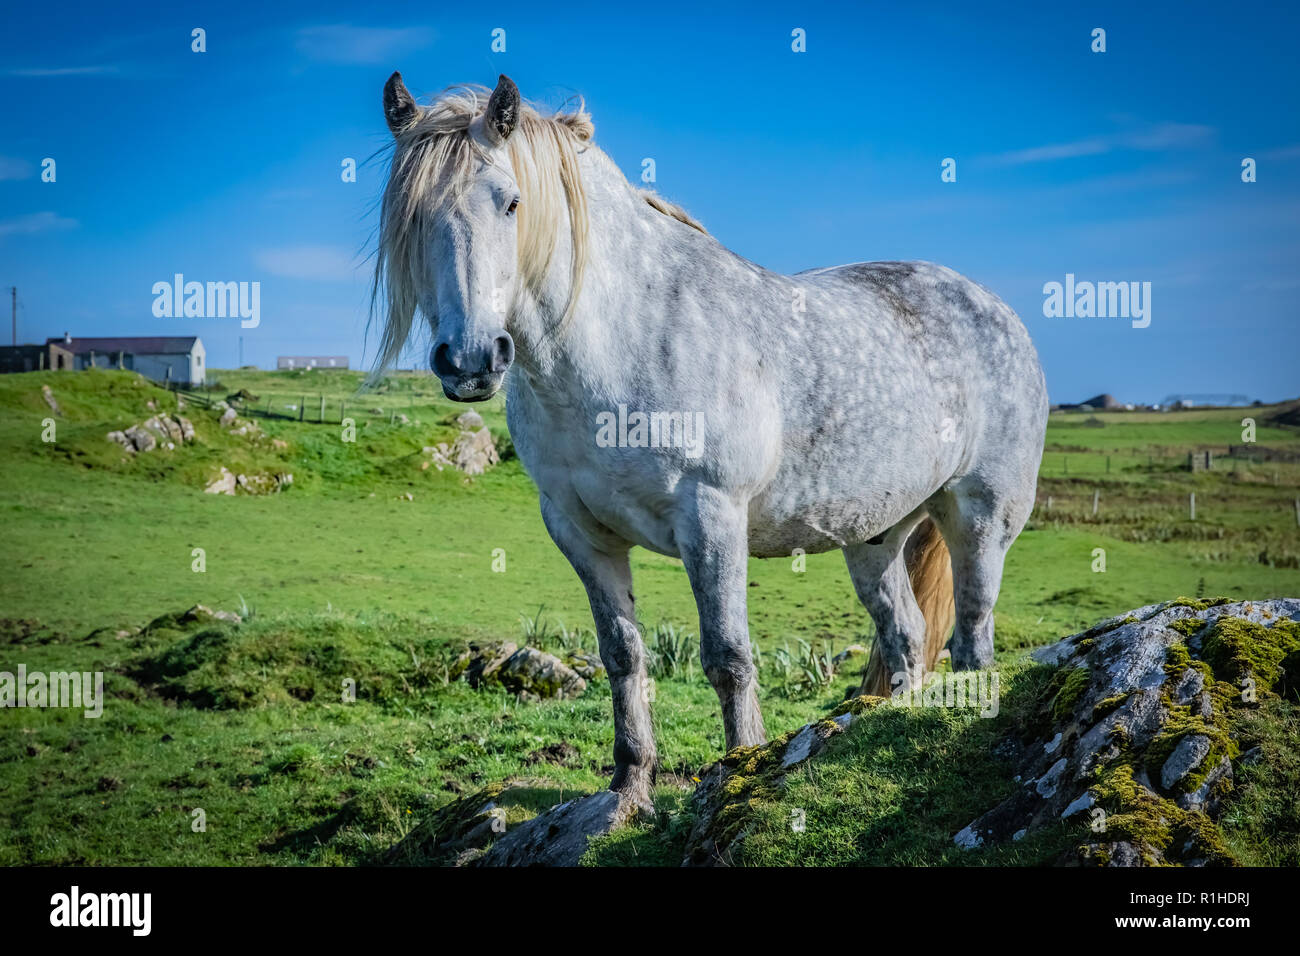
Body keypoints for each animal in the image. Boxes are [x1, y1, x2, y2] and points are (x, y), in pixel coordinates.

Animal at [371, 76, 1050, 822]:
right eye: (411, 217)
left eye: (512, 202)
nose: (469, 360)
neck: (624, 338)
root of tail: (995, 308)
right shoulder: (579, 531)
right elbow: (622, 656)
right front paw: (629, 794)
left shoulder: (712, 516)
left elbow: (727, 656)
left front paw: (738, 773)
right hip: (874, 535)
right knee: (906, 635)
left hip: (979, 517)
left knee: (973, 634)